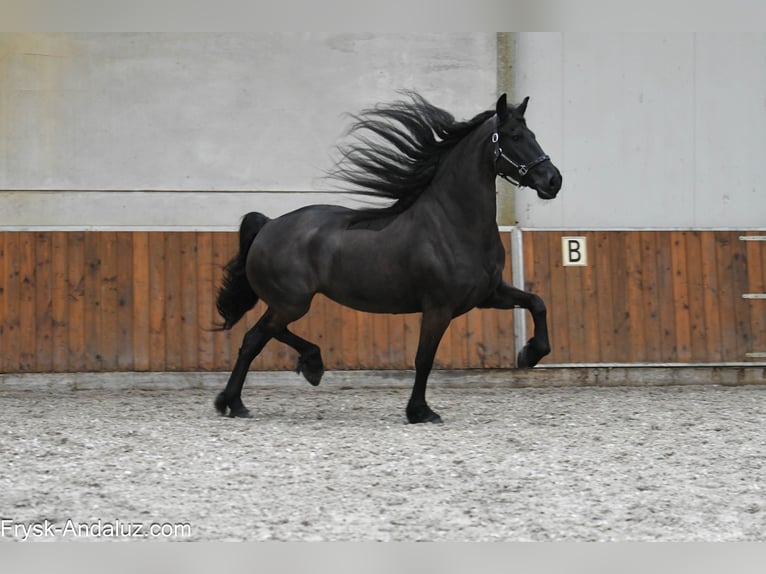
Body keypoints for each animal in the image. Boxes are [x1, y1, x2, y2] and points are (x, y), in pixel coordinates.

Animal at [214, 92, 562, 423]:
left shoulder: (488, 295)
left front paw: (530, 354)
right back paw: (255, 391)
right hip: (292, 303)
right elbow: (424, 358)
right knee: (257, 337)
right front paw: (420, 411)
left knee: (259, 336)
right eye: (515, 136)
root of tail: (268, 224)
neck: (453, 223)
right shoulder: (438, 308)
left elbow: (537, 303)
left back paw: (253, 393)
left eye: (532, 134)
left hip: (286, 303)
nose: (553, 180)